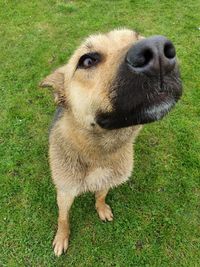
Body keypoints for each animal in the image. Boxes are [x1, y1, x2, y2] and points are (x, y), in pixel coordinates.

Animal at [39, 28, 182, 256]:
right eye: (87, 61)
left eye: (137, 38)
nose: (158, 50)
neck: (99, 153)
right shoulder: (65, 193)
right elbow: (63, 218)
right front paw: (61, 237)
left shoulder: (107, 181)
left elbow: (100, 196)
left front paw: (101, 208)